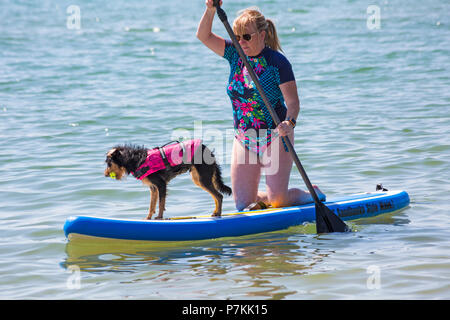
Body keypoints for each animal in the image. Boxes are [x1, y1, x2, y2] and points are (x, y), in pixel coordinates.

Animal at [104, 139, 232, 220]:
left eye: (109, 163)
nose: (105, 174)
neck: (135, 159)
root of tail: (209, 151)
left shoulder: (161, 184)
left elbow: (160, 203)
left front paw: (159, 217)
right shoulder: (153, 187)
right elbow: (152, 204)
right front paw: (148, 217)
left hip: (202, 178)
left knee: (219, 196)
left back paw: (218, 213)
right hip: (198, 178)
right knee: (215, 196)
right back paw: (215, 212)